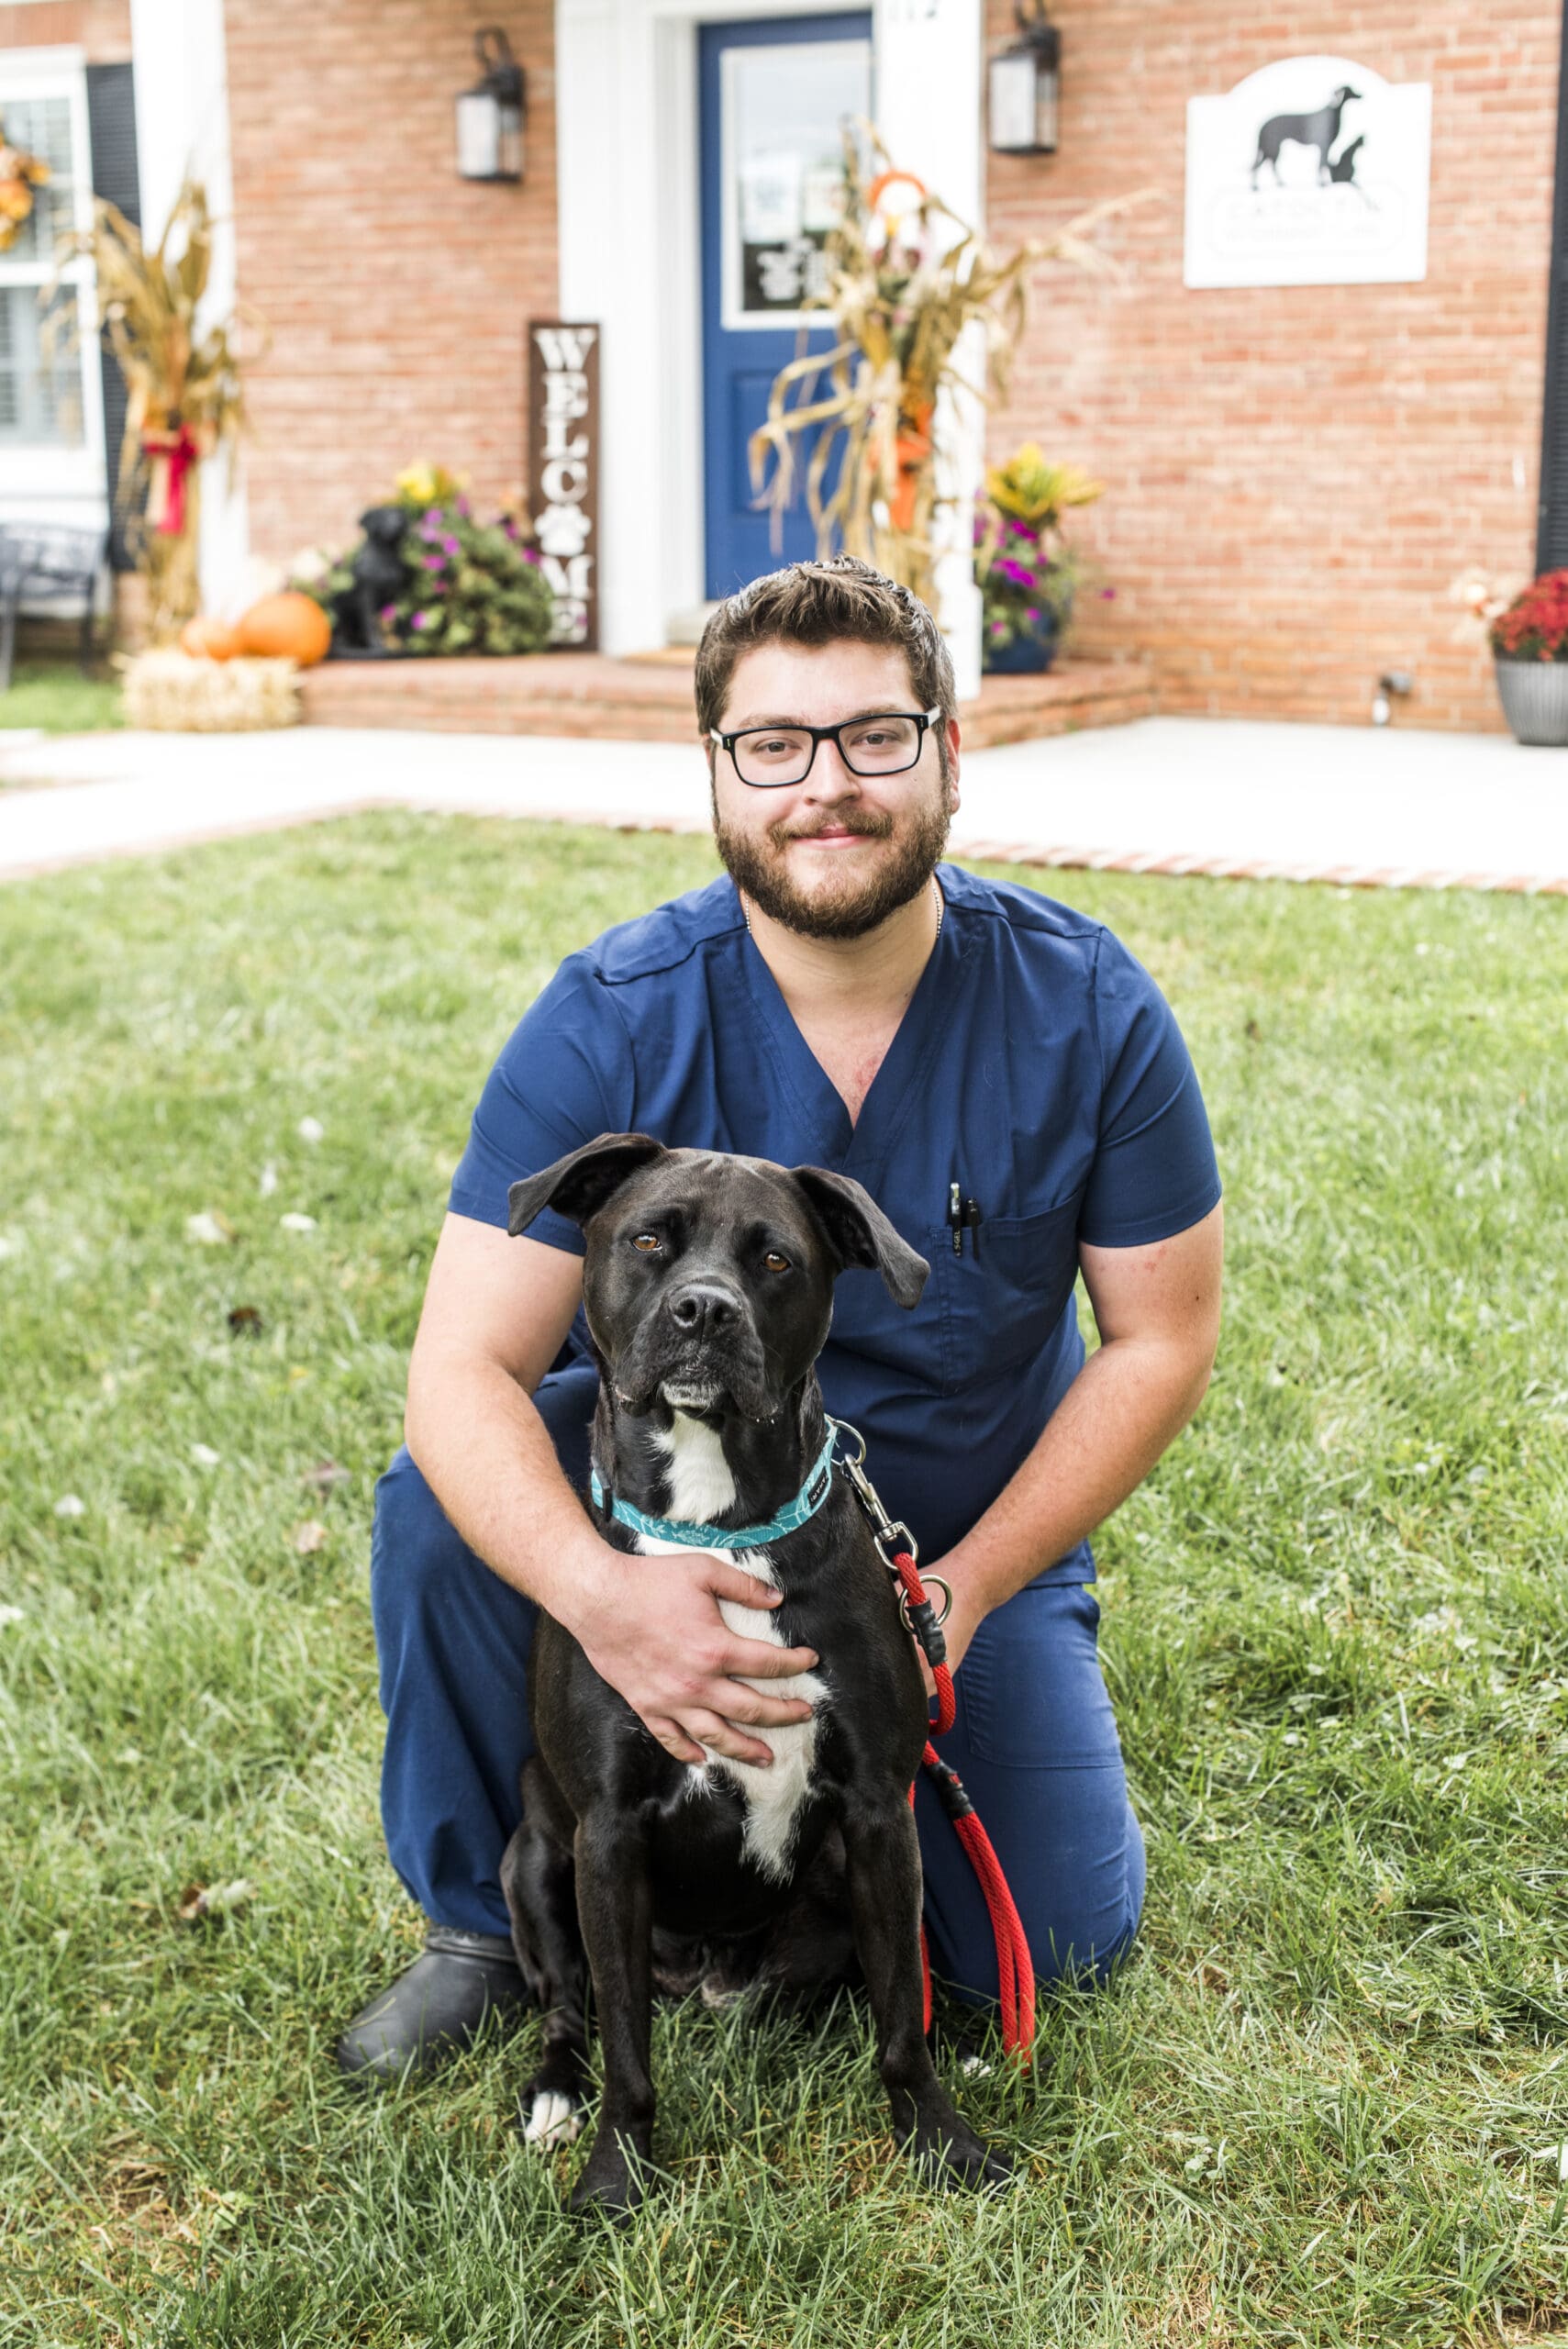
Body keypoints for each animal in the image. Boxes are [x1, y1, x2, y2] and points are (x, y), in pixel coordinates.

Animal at [505, 1137, 1018, 2217]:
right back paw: (554, 2094)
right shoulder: (607, 1834)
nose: (704, 1309)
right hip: (533, 1851)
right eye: (649, 1239)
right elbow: (626, 2055)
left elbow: (899, 2022)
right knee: (568, 2007)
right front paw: (615, 2179)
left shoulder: (878, 1812)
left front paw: (943, 2143)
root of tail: (706, 1978)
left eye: (775, 1259)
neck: (718, 1533)